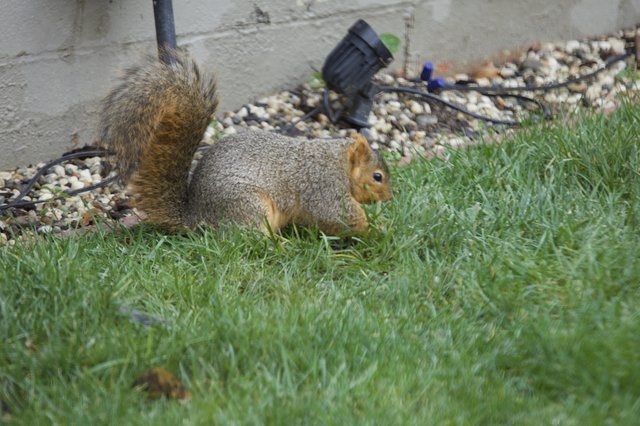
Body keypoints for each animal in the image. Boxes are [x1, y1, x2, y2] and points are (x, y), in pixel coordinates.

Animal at [98, 49, 393, 235]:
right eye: (377, 176)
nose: (390, 198)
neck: (340, 162)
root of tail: (197, 218)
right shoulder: (324, 188)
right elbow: (340, 215)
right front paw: (377, 229)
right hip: (249, 205)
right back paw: (282, 245)